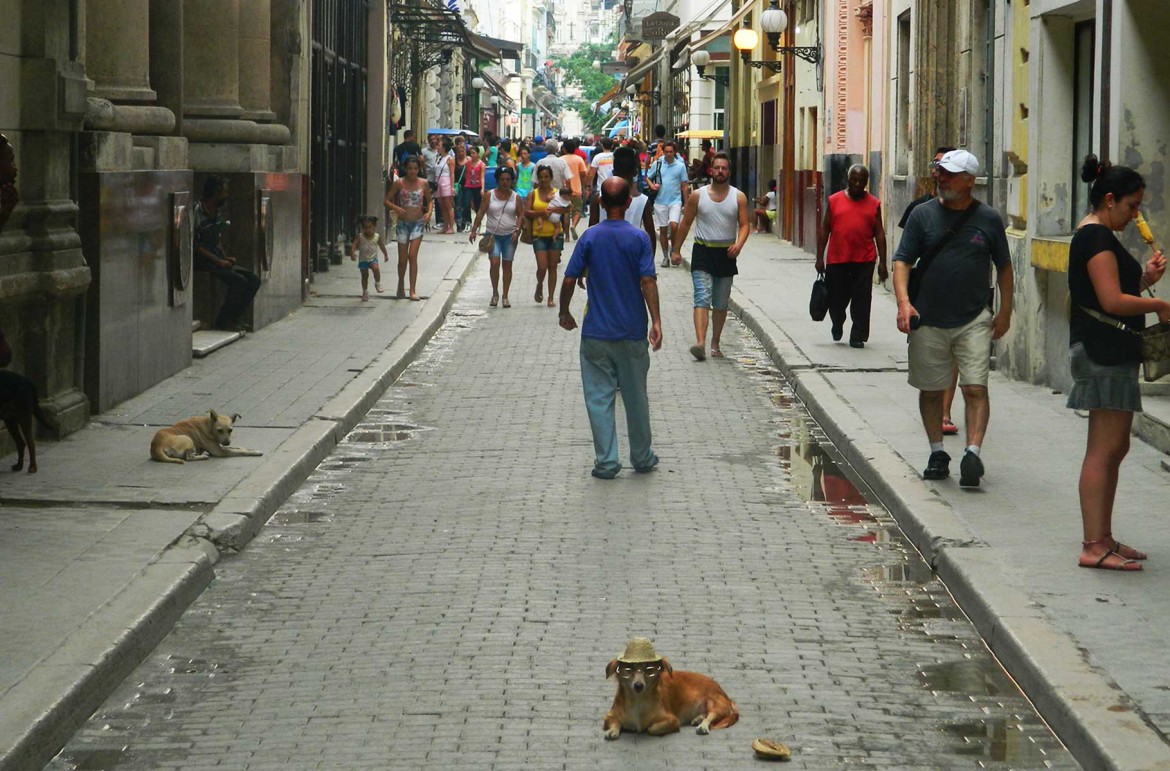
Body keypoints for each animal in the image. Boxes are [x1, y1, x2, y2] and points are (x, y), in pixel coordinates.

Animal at [603, 641, 739, 744]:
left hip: (714, 702)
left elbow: (651, 728)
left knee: (712, 715)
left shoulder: (673, 720)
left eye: (649, 669)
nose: (638, 685)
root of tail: (724, 693)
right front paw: (612, 731)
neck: (638, 700)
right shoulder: (608, 716)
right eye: (628, 669)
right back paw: (698, 718)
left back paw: (703, 725)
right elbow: (615, 721)